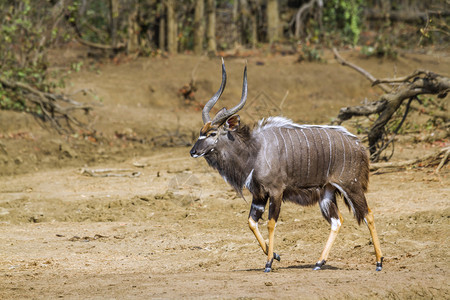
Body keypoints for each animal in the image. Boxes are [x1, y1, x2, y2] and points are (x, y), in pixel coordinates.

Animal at [190, 59, 384, 274]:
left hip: (351, 186)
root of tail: (360, 146)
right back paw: (319, 262)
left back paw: (379, 262)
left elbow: (271, 223)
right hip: (326, 193)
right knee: (337, 220)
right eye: (201, 131)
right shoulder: (259, 195)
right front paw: (275, 255)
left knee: (368, 214)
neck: (255, 150)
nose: (193, 151)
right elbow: (251, 222)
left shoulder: (275, 192)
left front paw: (268, 263)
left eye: (212, 133)